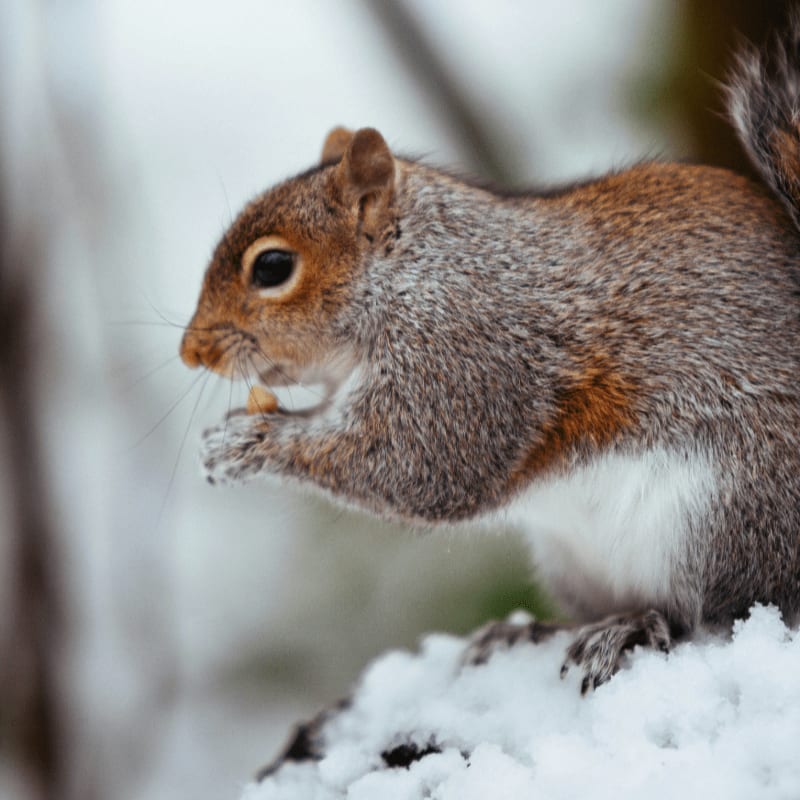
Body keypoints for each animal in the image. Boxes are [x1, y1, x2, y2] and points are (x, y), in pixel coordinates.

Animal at [180, 17, 800, 692]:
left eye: (272, 267)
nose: (192, 351)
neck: (413, 271)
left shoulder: (466, 350)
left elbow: (416, 462)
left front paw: (251, 443)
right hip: (575, 561)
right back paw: (528, 631)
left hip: (719, 520)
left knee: (712, 615)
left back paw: (631, 627)